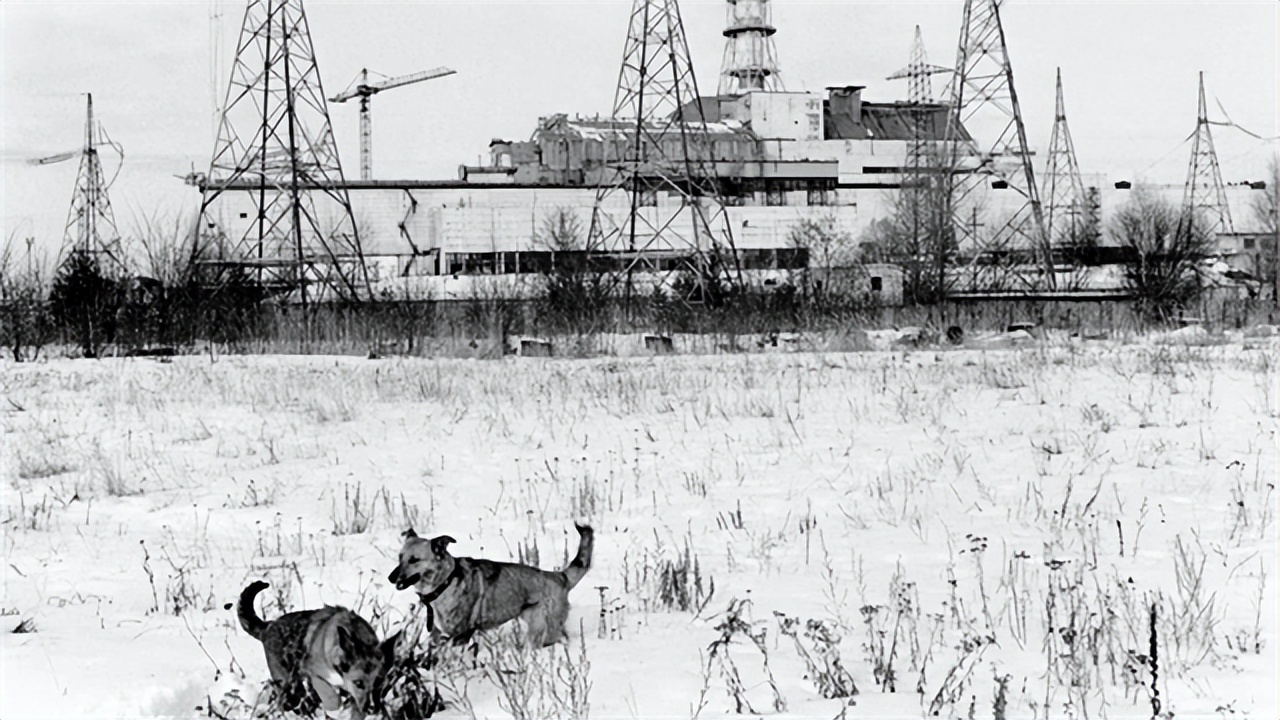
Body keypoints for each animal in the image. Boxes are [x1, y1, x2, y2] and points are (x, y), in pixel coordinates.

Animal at [238, 579, 396, 712]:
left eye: (379, 682)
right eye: (358, 683)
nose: (372, 709)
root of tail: (268, 627)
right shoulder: (317, 676)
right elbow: (331, 699)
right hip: (288, 685)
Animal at [386, 520, 591, 645]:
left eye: (414, 560)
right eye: (400, 557)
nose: (390, 578)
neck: (445, 582)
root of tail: (561, 577)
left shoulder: (460, 635)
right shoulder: (438, 634)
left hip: (541, 629)